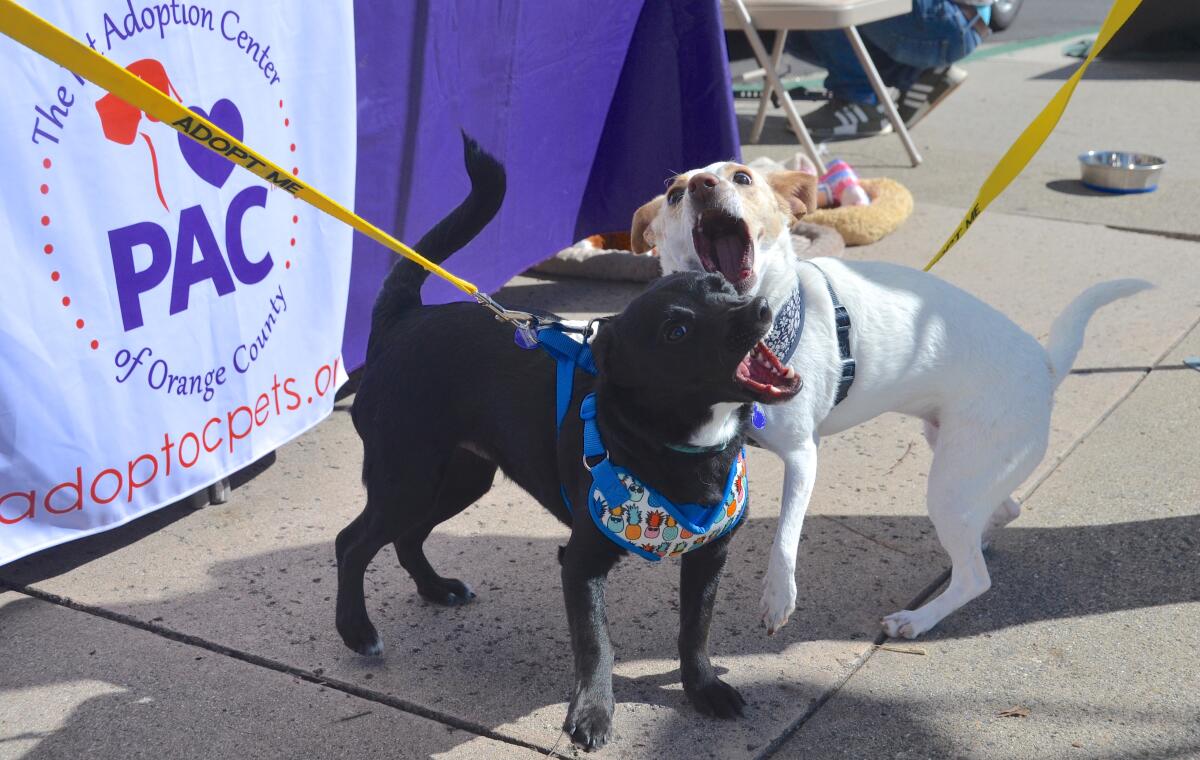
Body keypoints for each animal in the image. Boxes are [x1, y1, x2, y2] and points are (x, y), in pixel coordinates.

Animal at [338, 135, 801, 749]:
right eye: (676, 331)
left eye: (723, 289)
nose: (758, 308)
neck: (676, 443)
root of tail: (404, 319)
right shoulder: (580, 564)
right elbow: (596, 644)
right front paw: (593, 714)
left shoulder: (708, 557)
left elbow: (694, 631)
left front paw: (702, 689)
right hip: (407, 477)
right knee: (352, 543)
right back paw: (356, 630)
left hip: (458, 477)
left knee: (407, 537)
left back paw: (436, 590)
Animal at [633, 163, 1147, 638]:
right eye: (674, 194)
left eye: (742, 177)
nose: (702, 185)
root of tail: (1045, 365)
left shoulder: (802, 457)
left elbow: (785, 533)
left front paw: (779, 595)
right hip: (965, 464)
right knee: (1002, 512)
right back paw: (977, 542)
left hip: (952, 483)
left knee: (976, 579)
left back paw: (918, 620)